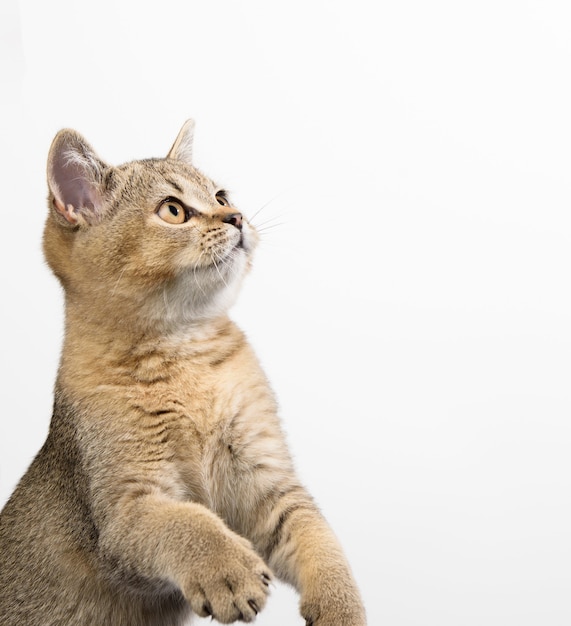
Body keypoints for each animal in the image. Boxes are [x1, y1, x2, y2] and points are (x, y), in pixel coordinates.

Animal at [0, 120, 366, 624]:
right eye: (173, 210)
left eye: (221, 195)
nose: (236, 217)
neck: (185, 356)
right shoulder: (125, 509)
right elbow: (188, 521)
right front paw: (229, 568)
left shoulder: (268, 483)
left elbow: (318, 536)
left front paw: (340, 604)